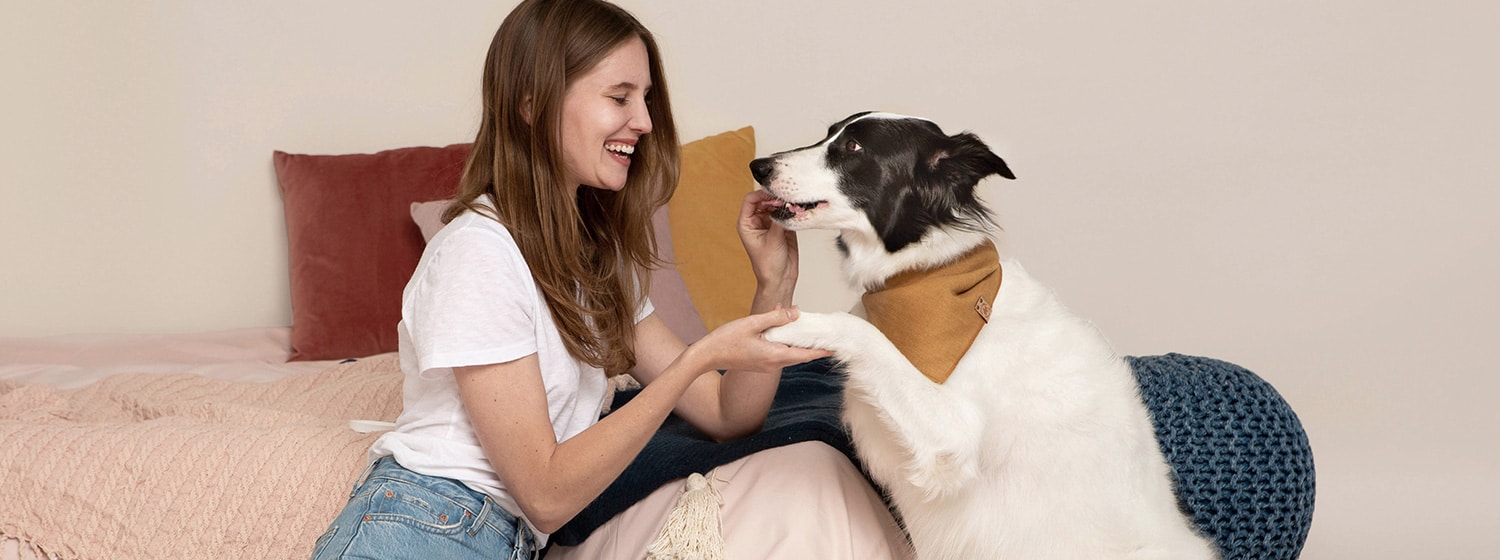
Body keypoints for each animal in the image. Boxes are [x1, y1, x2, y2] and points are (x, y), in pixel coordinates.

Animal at [756, 113, 1212, 558]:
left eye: (853, 147)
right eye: (829, 134)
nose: (758, 166)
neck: (920, 278)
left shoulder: (952, 435)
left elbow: (862, 330)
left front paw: (787, 324)